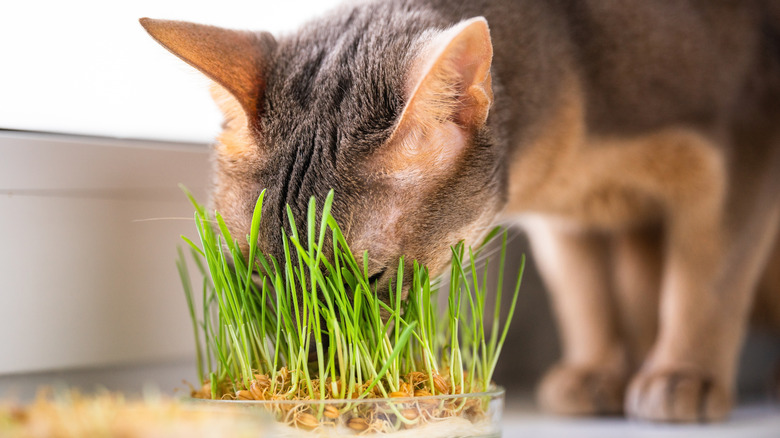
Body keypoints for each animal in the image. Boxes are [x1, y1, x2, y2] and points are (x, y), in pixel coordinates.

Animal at [140, 0, 780, 424]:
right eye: (257, 278)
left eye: (371, 278)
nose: (321, 375)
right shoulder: (567, 224)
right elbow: (584, 295)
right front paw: (596, 369)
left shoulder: (745, 141)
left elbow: (705, 281)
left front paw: (684, 375)